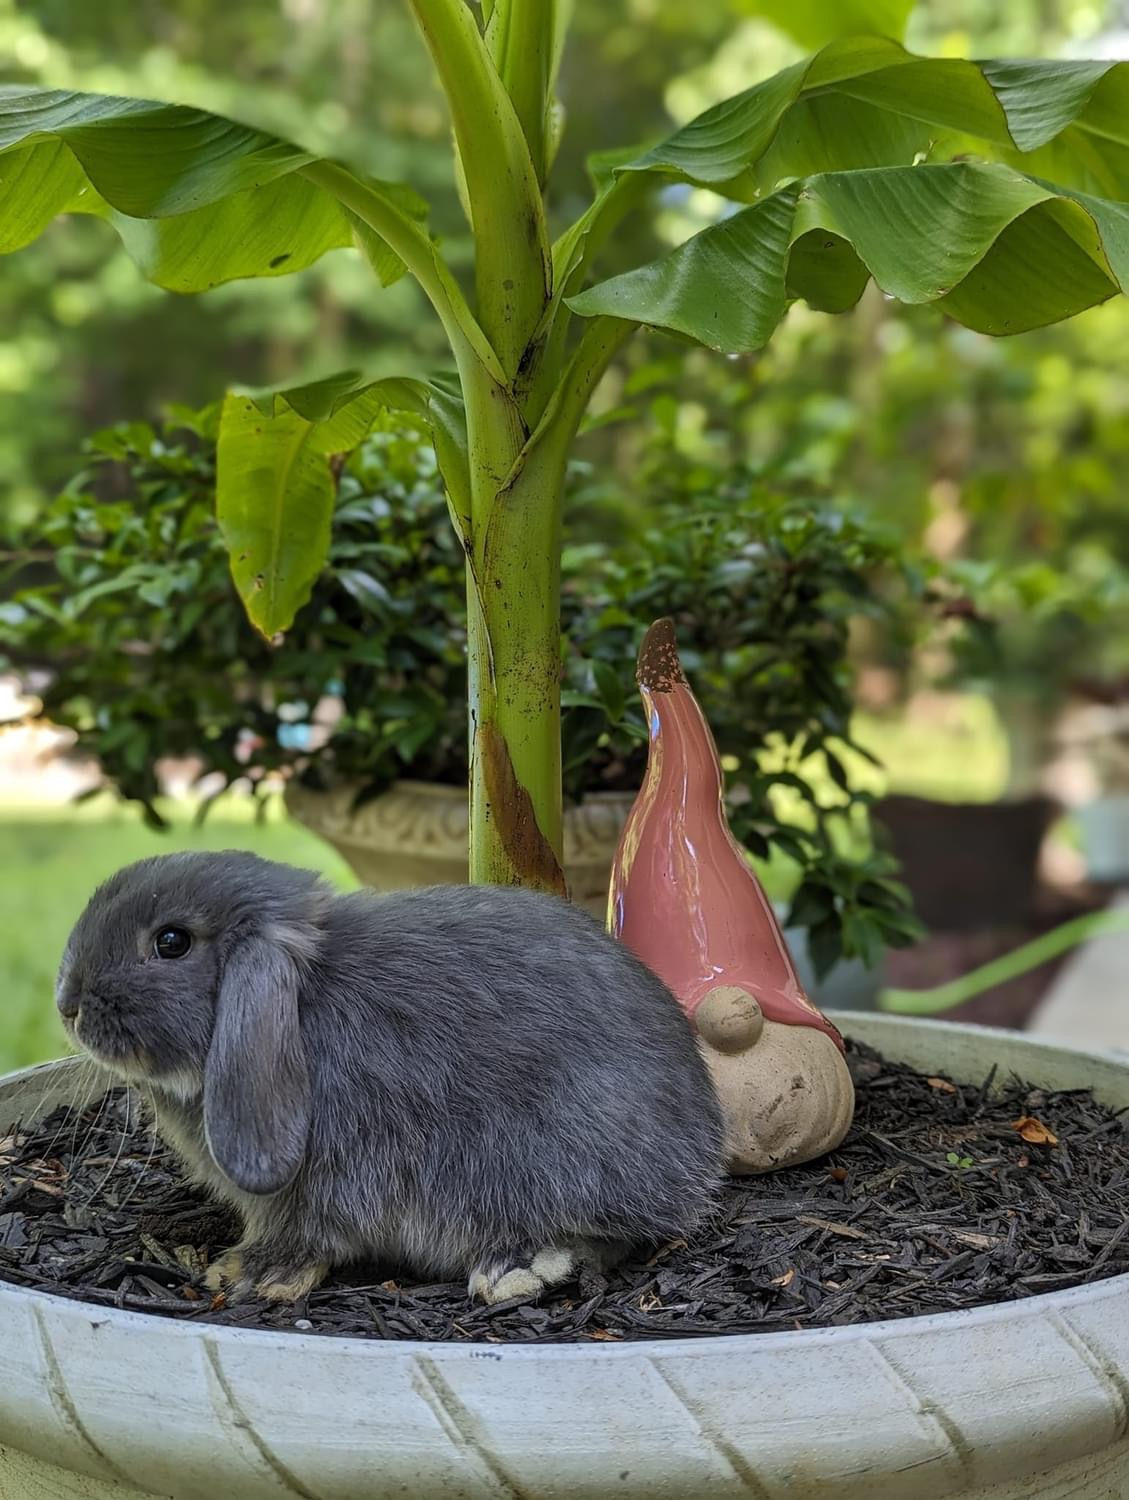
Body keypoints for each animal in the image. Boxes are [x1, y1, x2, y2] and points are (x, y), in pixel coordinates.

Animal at [55, 850, 724, 1305]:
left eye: (171, 942)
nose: (67, 1005)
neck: (305, 1002)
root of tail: (702, 1154)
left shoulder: (326, 1180)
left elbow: (303, 1234)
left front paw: (251, 1274)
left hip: (543, 1156)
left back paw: (519, 1266)